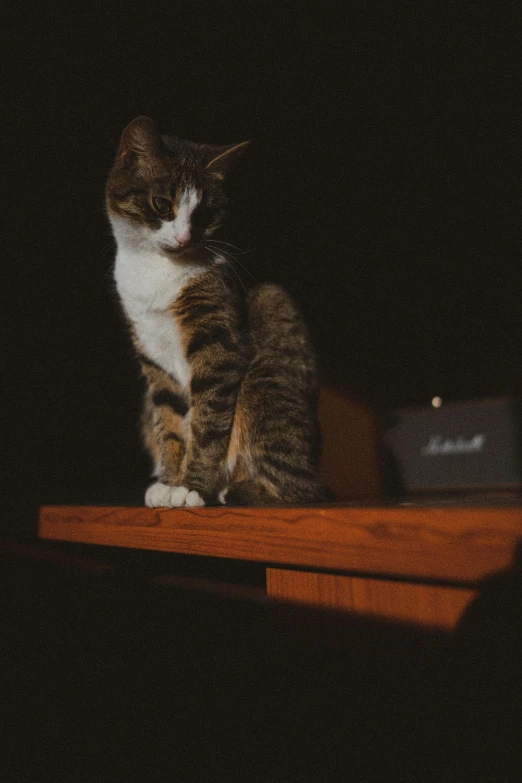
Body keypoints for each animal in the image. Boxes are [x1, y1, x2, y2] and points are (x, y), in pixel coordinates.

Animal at [105, 116, 324, 508]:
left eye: (205, 213)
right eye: (162, 204)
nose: (184, 238)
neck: (154, 271)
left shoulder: (216, 339)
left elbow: (207, 422)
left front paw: (193, 488)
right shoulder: (152, 354)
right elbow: (169, 421)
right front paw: (170, 481)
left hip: (264, 381)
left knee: (300, 489)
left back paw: (233, 490)